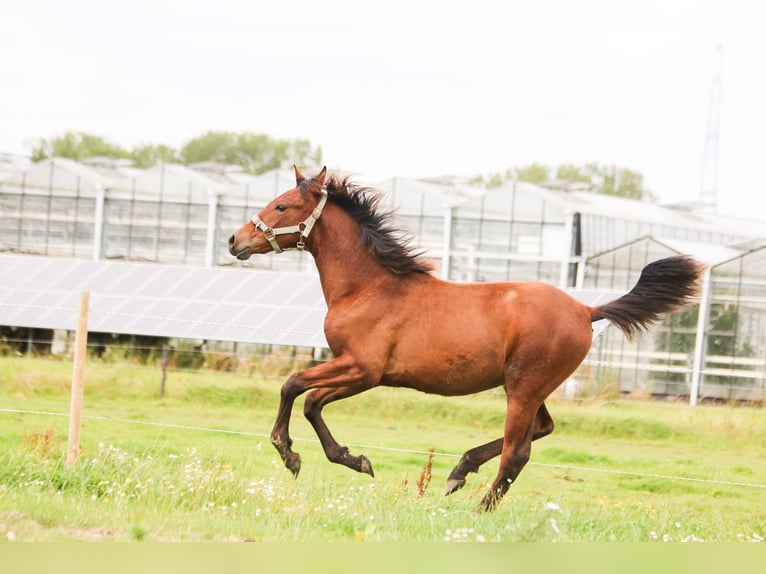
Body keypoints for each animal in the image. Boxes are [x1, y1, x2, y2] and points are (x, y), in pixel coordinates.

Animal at [228, 166, 708, 512]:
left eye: (283, 206)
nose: (235, 240)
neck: (370, 287)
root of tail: (586, 311)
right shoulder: (356, 370)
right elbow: (312, 402)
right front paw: (354, 459)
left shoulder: (363, 368)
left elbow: (293, 385)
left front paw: (289, 454)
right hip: (530, 386)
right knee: (542, 429)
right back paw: (459, 470)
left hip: (524, 386)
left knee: (518, 451)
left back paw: (477, 509)